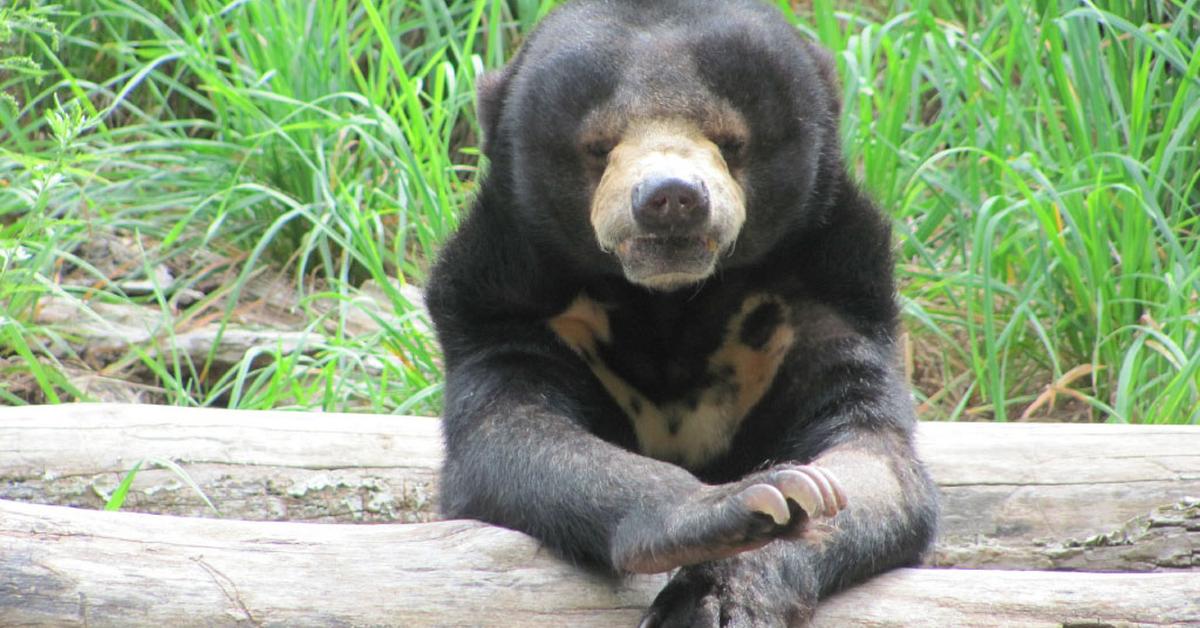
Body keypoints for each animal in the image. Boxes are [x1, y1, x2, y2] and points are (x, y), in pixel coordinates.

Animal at [427, 0, 940, 624]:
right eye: (599, 145)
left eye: (730, 141)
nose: (671, 198)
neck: (668, 302)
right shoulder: (507, 305)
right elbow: (510, 434)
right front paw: (739, 505)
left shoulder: (824, 301)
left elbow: (870, 459)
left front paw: (729, 580)